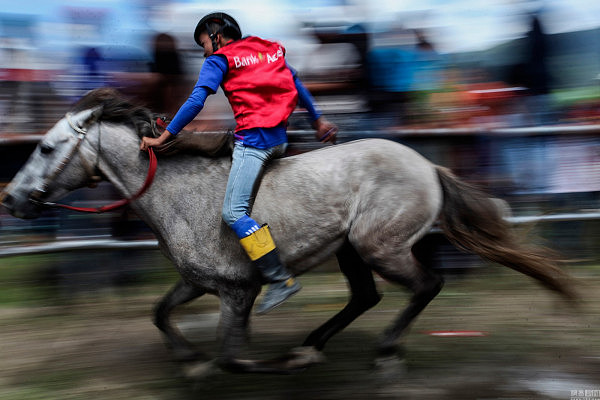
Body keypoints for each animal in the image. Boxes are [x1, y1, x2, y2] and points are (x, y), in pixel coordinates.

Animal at [0, 89, 576, 376]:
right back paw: (314, 344)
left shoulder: (237, 291)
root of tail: (428, 166)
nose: (10, 198)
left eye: (46, 148)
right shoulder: (197, 282)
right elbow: (160, 313)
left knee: (426, 285)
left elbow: (232, 358)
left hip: (380, 246)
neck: (175, 193)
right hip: (351, 250)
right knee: (365, 297)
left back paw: (385, 352)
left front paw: (261, 363)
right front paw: (188, 362)